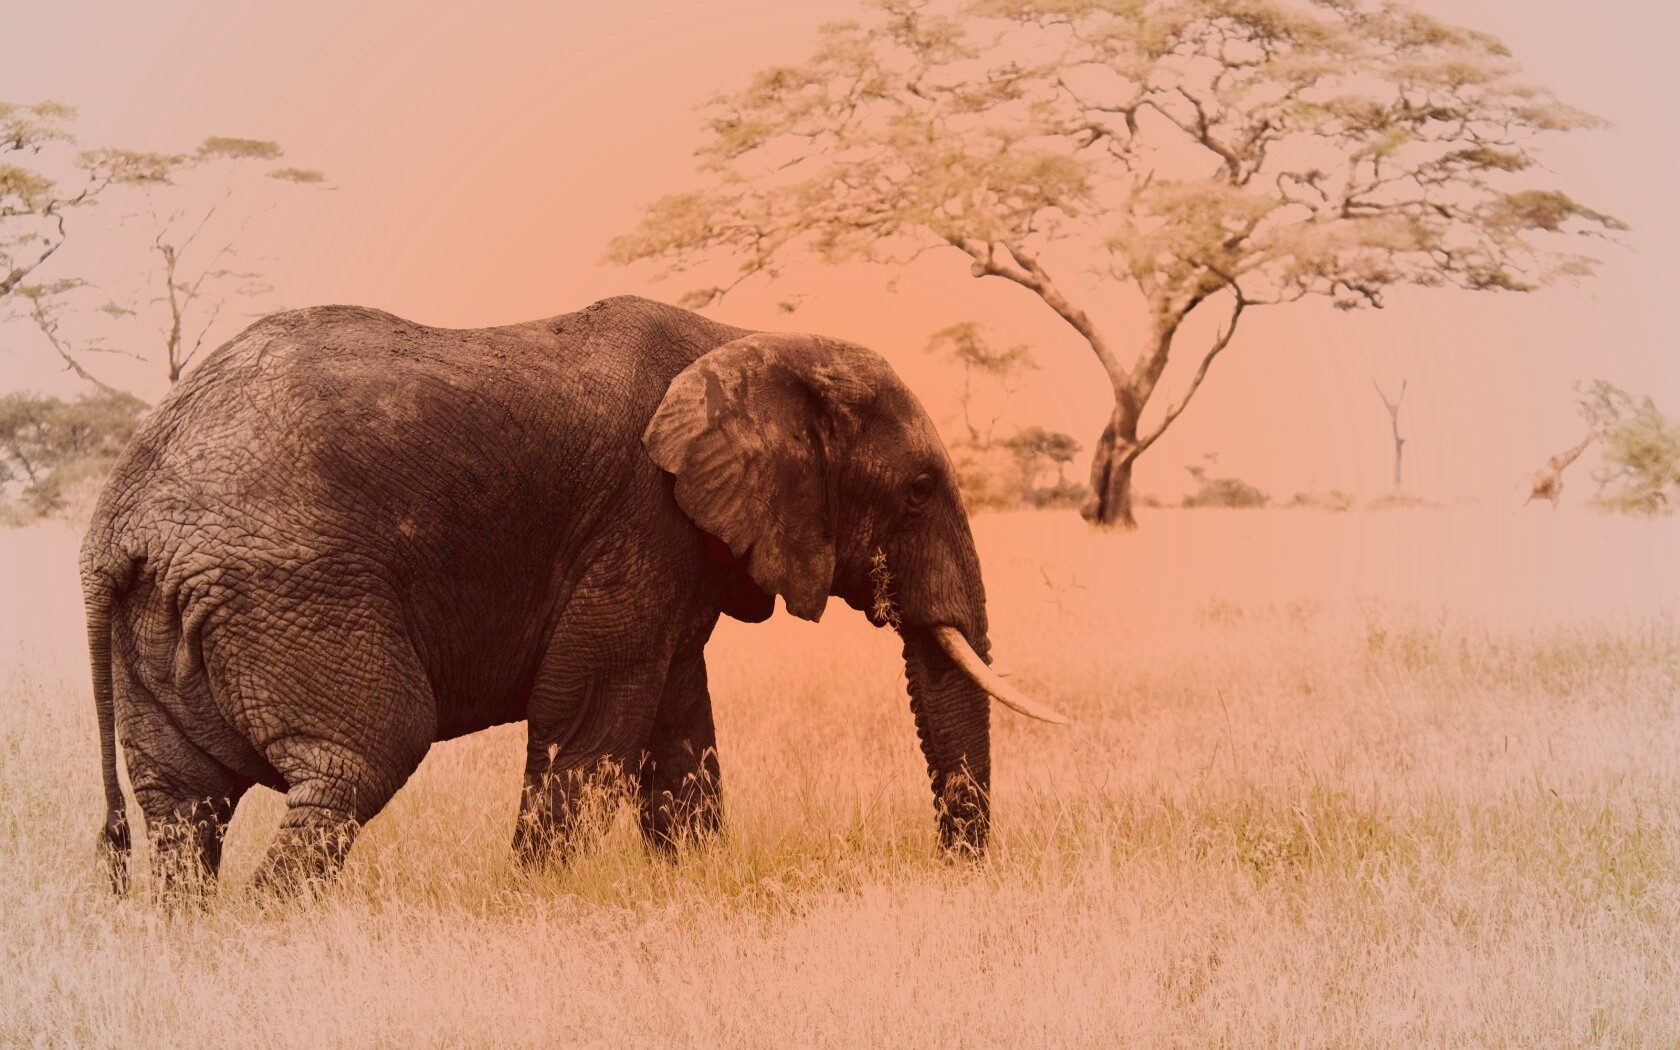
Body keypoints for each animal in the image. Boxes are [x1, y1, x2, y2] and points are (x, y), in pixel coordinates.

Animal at [80, 294, 1066, 895]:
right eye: (918, 489)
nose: (956, 872)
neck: (746, 338)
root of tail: (115, 521)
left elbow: (677, 723)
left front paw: (690, 884)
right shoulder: (639, 517)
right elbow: (589, 710)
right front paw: (535, 900)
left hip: (167, 618)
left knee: (183, 805)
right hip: (289, 590)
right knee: (361, 756)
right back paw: (275, 928)